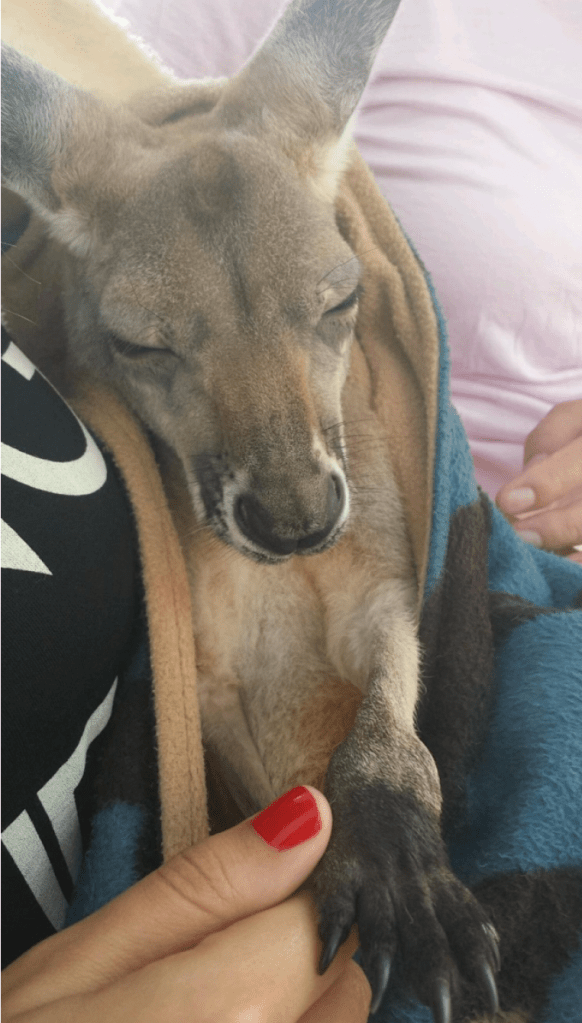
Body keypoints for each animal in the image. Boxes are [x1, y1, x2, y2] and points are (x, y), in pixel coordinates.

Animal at [2, 2, 501, 1018]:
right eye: (136, 345)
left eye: (344, 300)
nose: (298, 519)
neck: (273, 575)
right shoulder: (194, 671)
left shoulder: (379, 565)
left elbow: (393, 674)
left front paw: (399, 860)